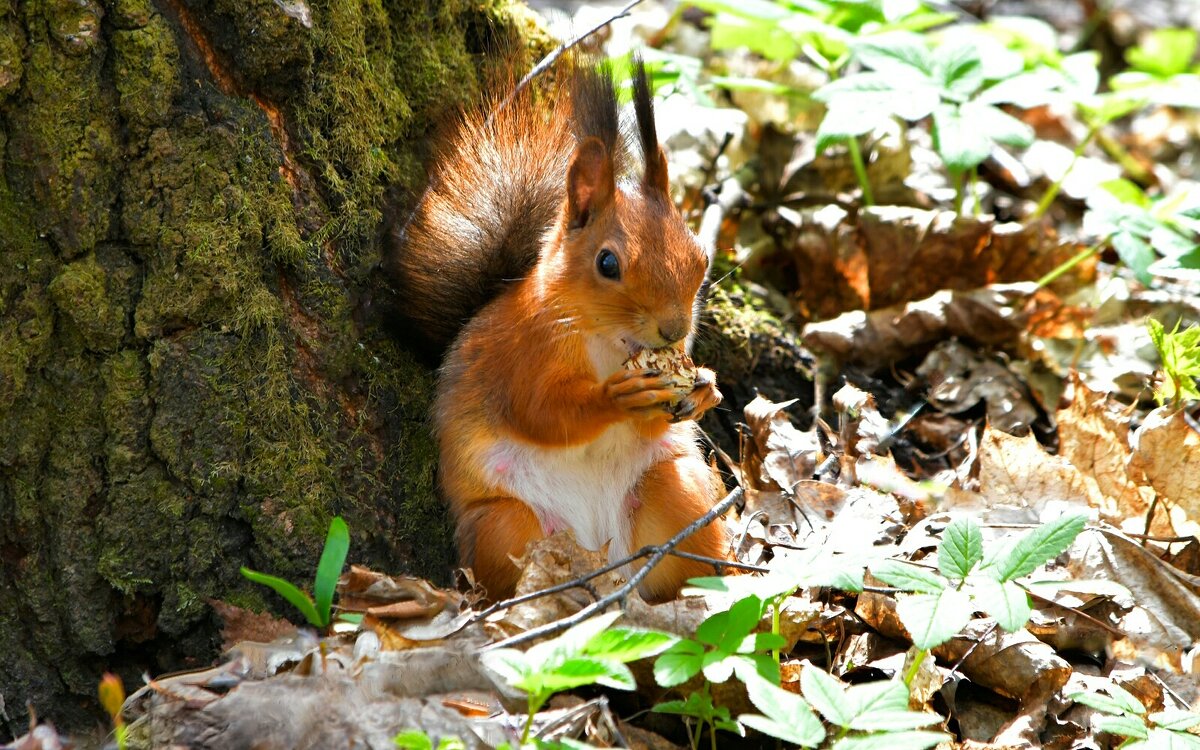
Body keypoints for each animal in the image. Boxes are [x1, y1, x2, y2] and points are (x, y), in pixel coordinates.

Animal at [383, 57, 730, 602]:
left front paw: (705, 388)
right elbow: (541, 413)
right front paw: (616, 397)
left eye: (700, 256)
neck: (608, 343)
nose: (674, 330)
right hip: (505, 526)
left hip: (675, 491)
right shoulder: (518, 354)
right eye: (607, 263)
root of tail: (602, 563)